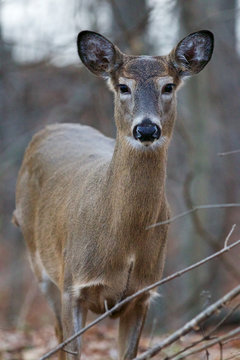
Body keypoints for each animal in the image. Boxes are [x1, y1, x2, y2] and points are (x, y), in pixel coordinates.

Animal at [13, 29, 214, 358]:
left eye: (168, 86)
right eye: (123, 86)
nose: (146, 129)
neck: (124, 242)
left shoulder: (143, 293)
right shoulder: (73, 286)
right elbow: (73, 349)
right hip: (40, 263)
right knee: (57, 335)